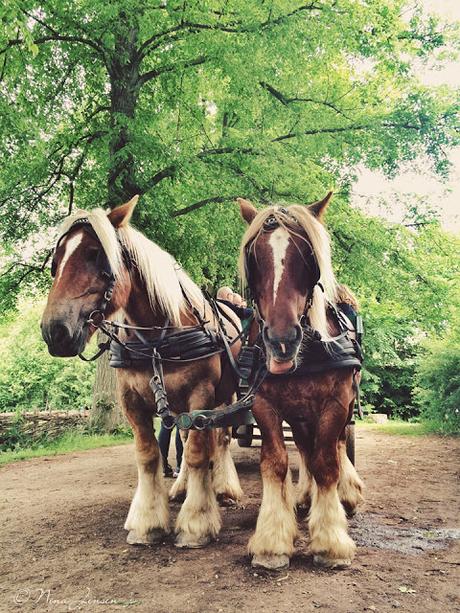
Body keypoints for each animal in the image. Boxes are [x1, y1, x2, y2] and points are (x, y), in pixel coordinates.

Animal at [41, 196, 243, 544]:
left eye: (96, 255)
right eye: (56, 261)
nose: (55, 330)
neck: (158, 339)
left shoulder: (201, 395)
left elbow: (198, 452)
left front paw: (196, 523)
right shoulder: (131, 399)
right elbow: (149, 456)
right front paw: (148, 522)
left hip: (224, 396)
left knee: (220, 437)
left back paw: (224, 488)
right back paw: (181, 488)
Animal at [237, 194, 362, 572]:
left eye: (308, 257)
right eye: (254, 258)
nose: (281, 341)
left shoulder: (336, 402)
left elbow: (327, 463)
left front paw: (331, 541)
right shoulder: (263, 403)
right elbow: (276, 462)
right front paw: (272, 541)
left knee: (335, 447)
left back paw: (345, 496)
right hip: (300, 412)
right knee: (306, 448)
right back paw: (307, 496)